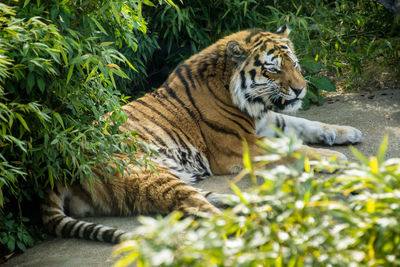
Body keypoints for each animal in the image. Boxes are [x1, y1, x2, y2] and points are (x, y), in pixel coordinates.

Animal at [40, 26, 362, 244]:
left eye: (293, 64)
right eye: (273, 70)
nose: (300, 90)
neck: (245, 99)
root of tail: (57, 168)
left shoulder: (265, 120)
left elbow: (305, 124)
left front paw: (346, 132)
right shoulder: (240, 144)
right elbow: (291, 149)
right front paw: (333, 157)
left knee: (203, 197)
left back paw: (253, 204)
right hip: (148, 174)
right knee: (194, 206)